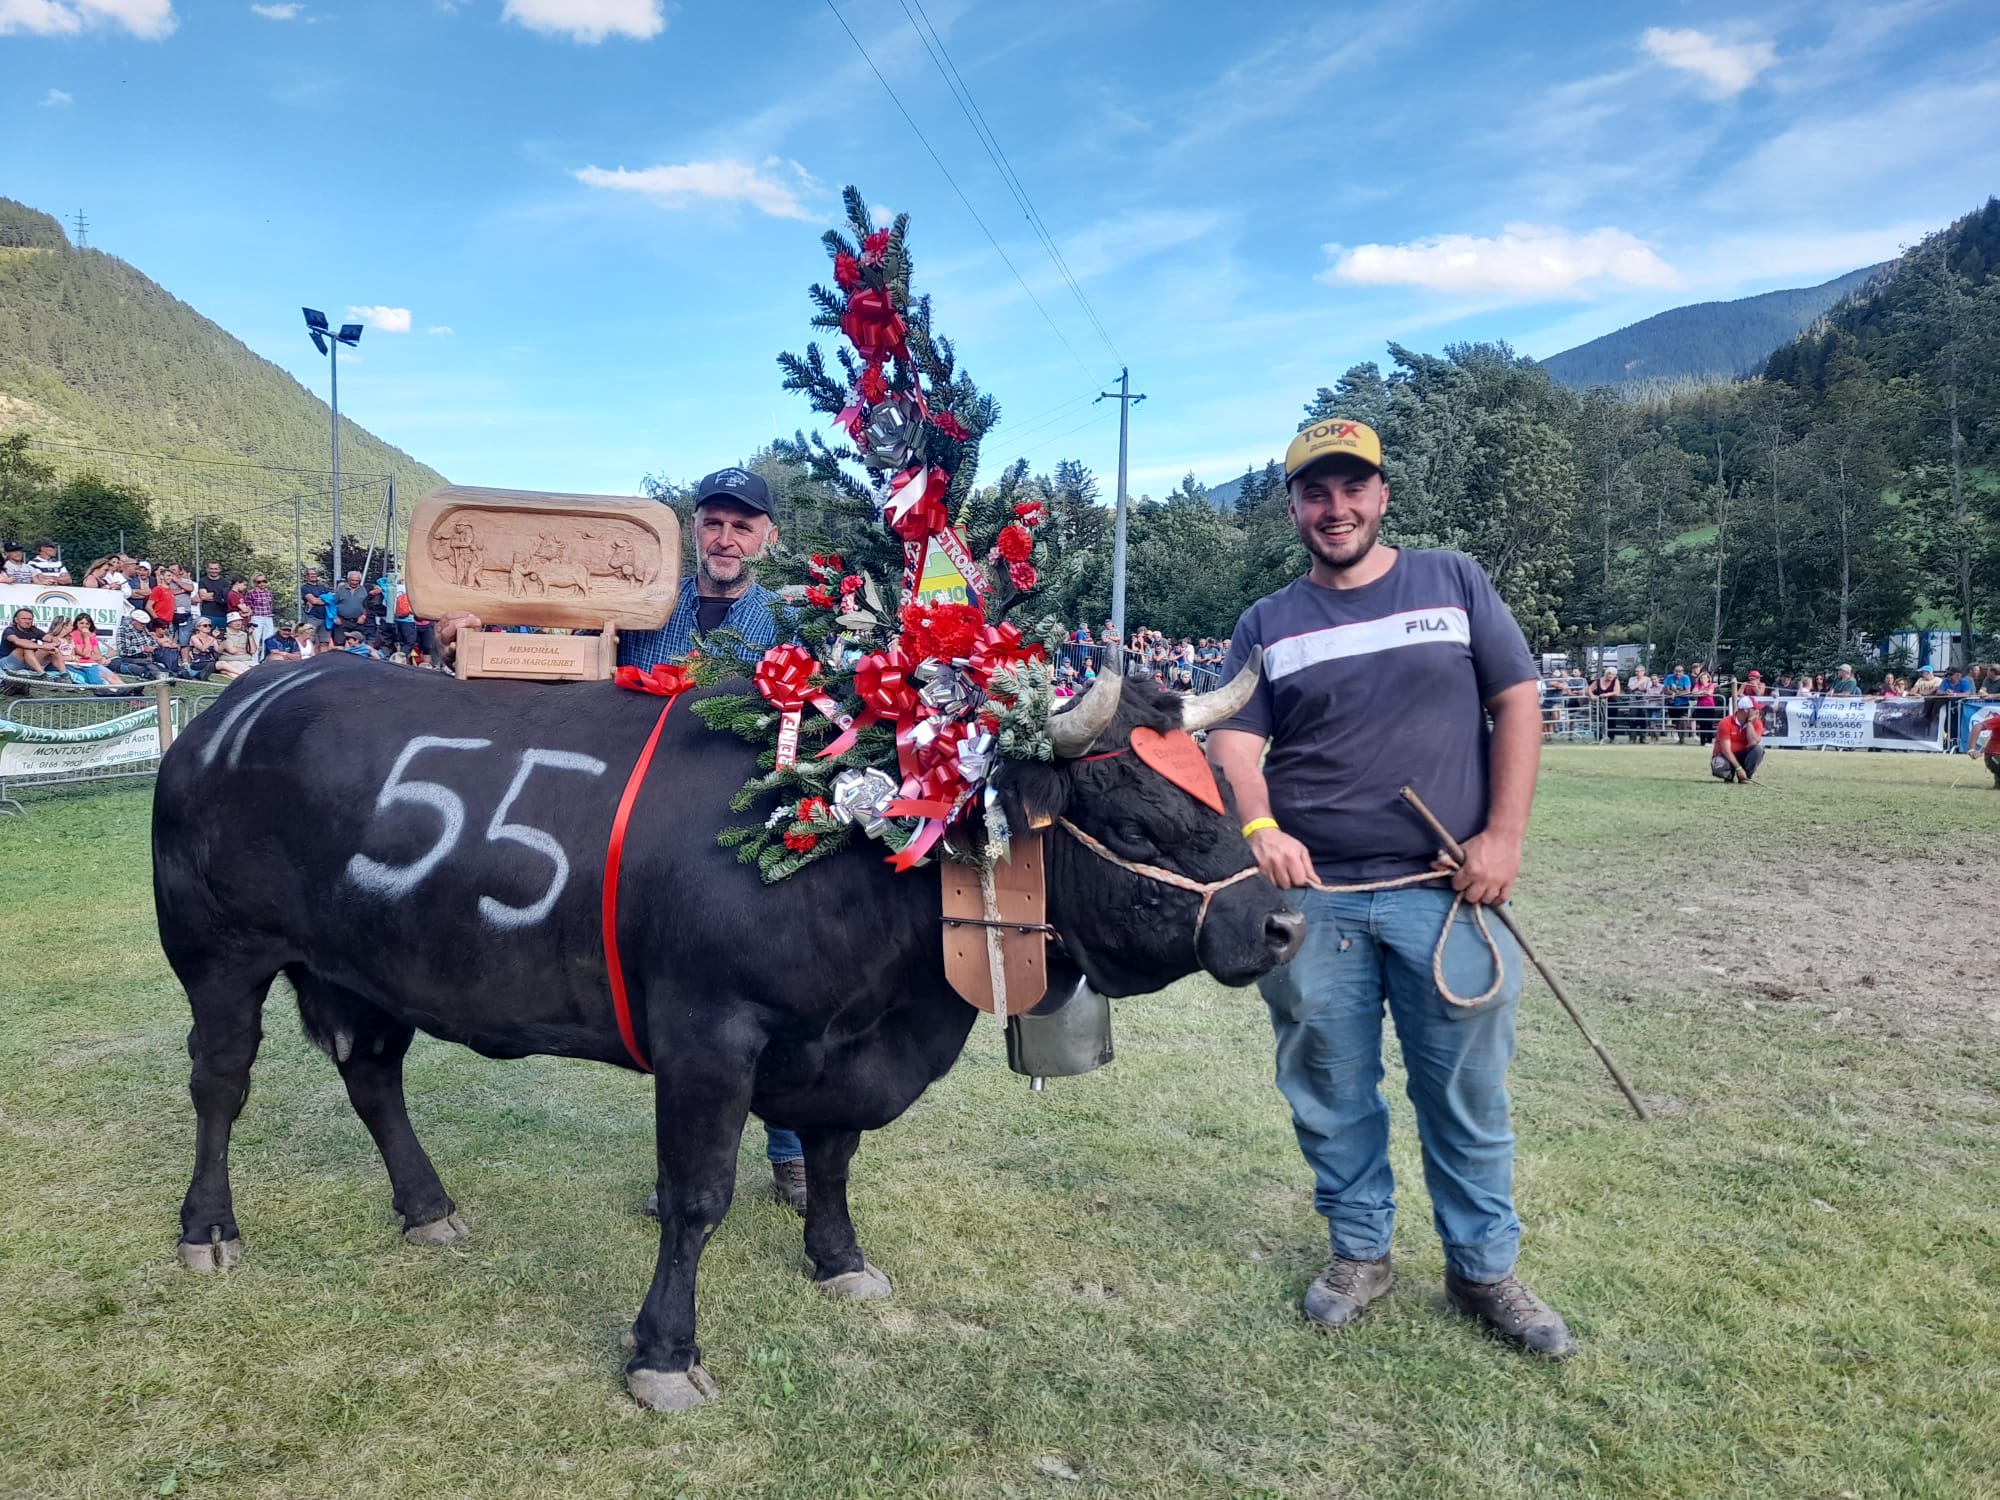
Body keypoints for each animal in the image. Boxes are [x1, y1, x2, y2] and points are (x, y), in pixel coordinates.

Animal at [145, 656, 1296, 1408]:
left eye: (1212, 784)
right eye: (1138, 820)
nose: (1279, 922)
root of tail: (233, 705)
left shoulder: (843, 1047)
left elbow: (831, 1160)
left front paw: (839, 1259)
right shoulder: (707, 1034)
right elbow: (696, 1199)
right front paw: (663, 1355)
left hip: (371, 965)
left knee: (374, 1076)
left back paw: (428, 1208)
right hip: (217, 951)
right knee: (219, 1082)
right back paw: (209, 1228)